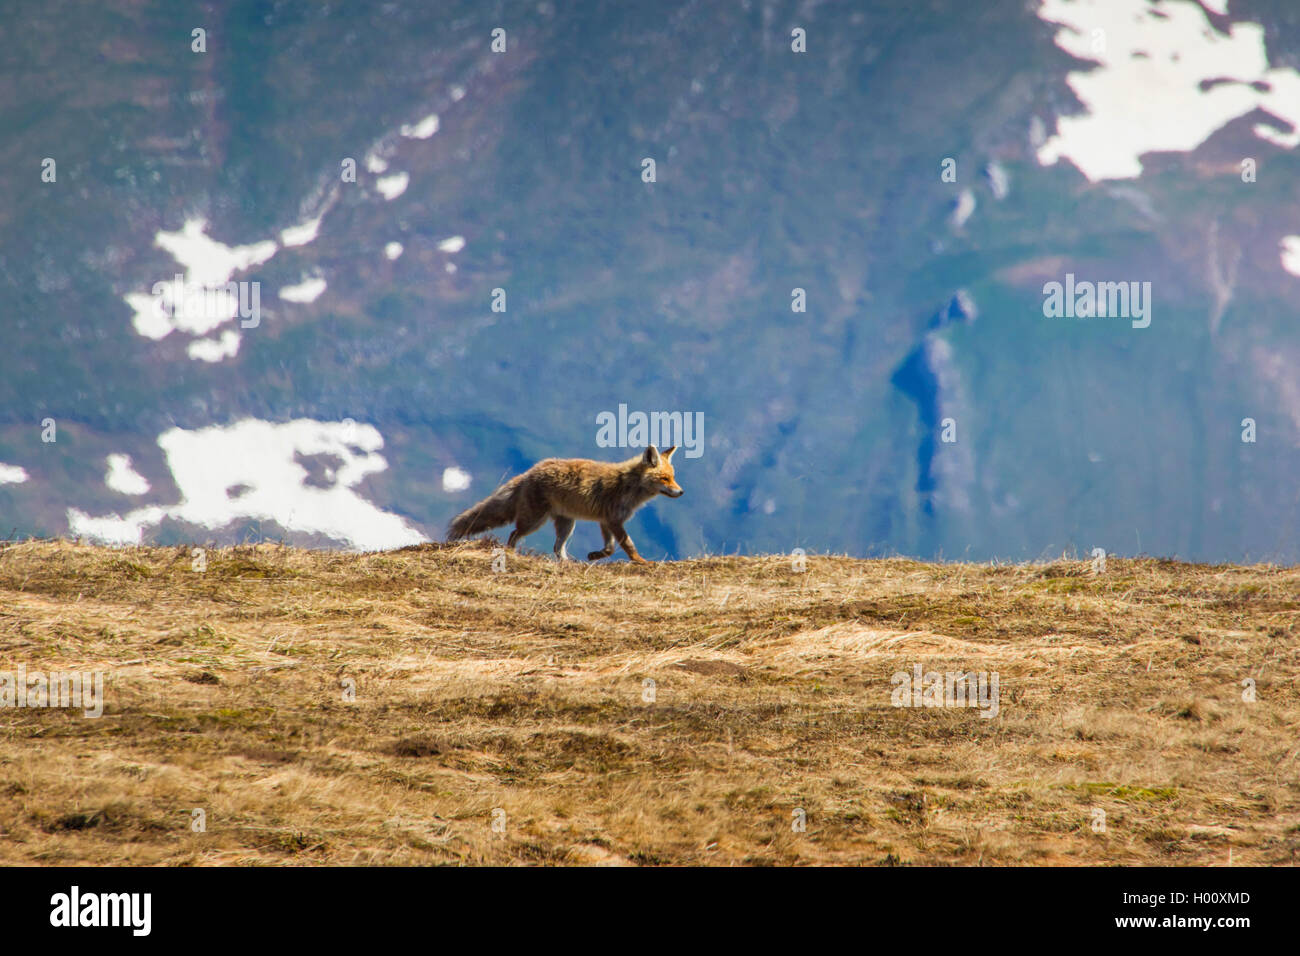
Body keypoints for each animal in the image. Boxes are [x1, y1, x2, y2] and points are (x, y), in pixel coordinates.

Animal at [447, 444, 686, 564]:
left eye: (673, 477)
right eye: (665, 479)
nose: (681, 492)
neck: (628, 485)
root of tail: (529, 472)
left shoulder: (605, 521)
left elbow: (609, 549)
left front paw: (595, 556)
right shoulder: (614, 520)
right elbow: (628, 545)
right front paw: (641, 561)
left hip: (566, 524)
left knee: (556, 547)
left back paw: (567, 563)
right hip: (534, 521)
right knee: (514, 534)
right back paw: (512, 553)